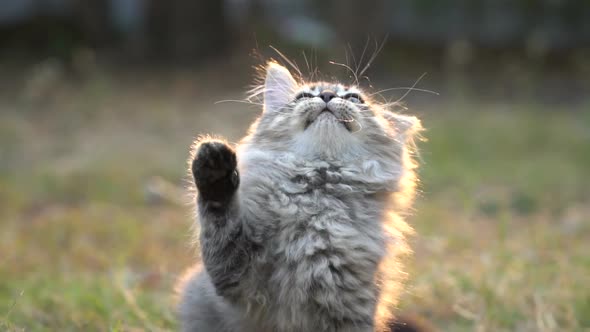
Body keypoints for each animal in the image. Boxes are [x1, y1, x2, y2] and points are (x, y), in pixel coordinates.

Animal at [178, 62, 424, 332]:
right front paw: (215, 166)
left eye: (354, 98)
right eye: (304, 96)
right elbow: (219, 220)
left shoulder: (350, 308)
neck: (318, 201)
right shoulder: (236, 277)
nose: (327, 95)